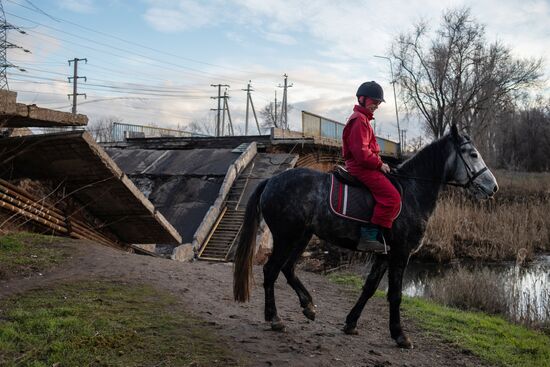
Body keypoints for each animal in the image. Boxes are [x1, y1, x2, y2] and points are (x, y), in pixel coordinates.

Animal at [233, 125, 500, 350]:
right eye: (472, 154)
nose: (493, 187)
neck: (413, 191)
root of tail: (271, 180)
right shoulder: (400, 253)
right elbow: (395, 295)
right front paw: (400, 335)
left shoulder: (384, 255)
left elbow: (370, 288)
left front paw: (351, 323)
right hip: (286, 236)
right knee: (271, 270)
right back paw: (275, 318)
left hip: (302, 236)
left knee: (287, 268)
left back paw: (308, 306)